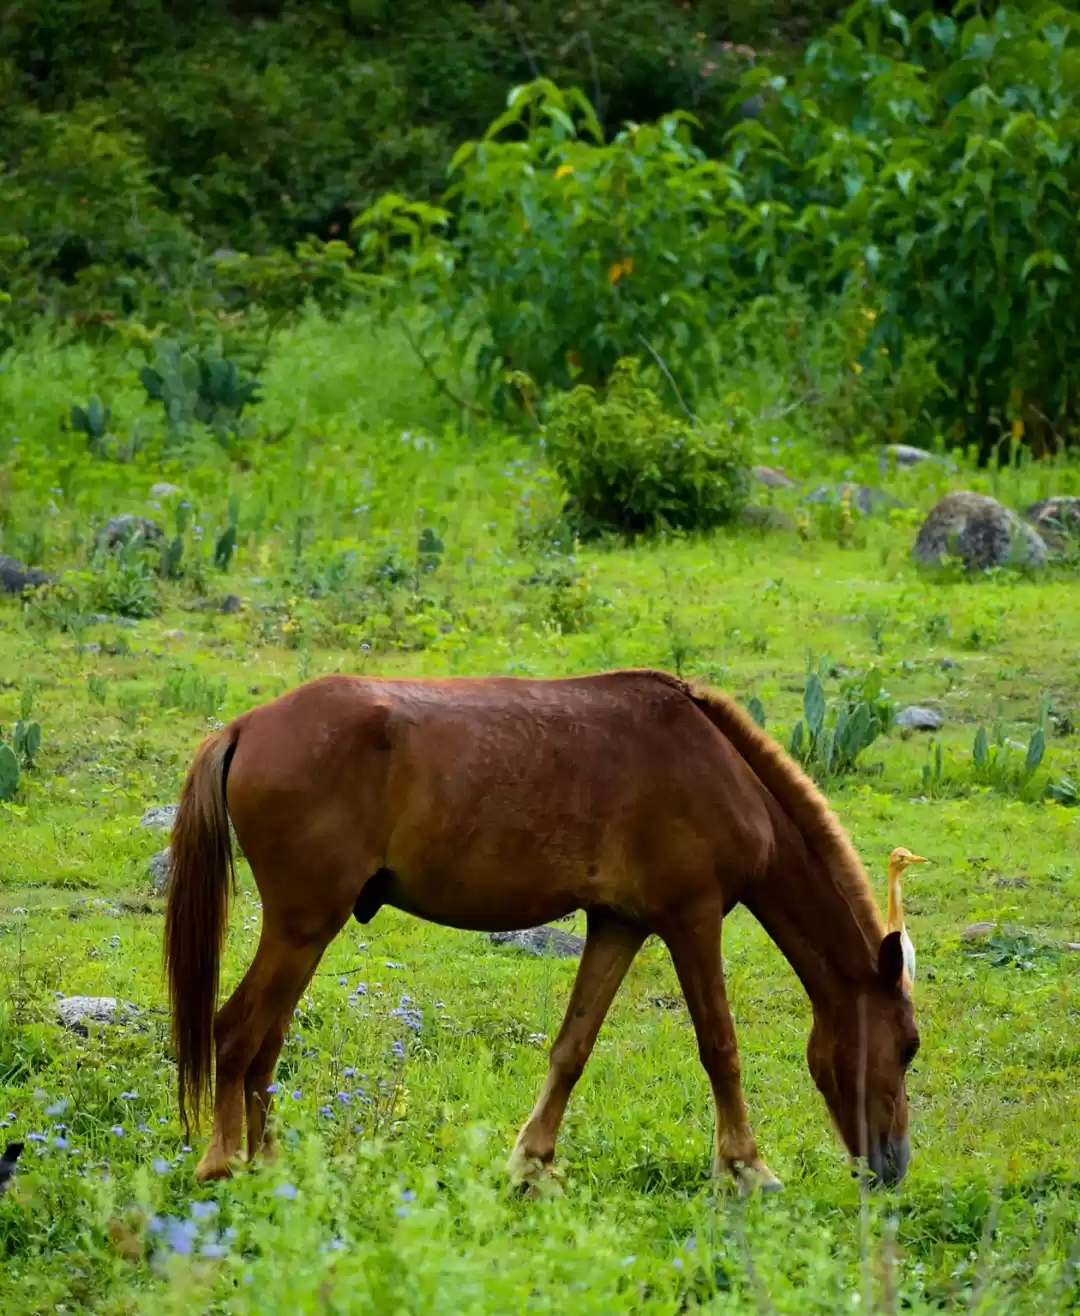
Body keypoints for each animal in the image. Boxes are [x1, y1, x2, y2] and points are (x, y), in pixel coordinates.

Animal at [164, 668, 919, 1191]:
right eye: (907, 1047)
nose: (892, 1167)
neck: (715, 766)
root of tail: (245, 726)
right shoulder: (693, 919)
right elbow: (720, 1048)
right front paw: (746, 1167)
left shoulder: (619, 926)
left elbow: (572, 1049)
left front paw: (532, 1163)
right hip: (302, 927)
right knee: (235, 1032)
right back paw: (221, 1164)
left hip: (304, 934)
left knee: (265, 1044)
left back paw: (267, 1165)